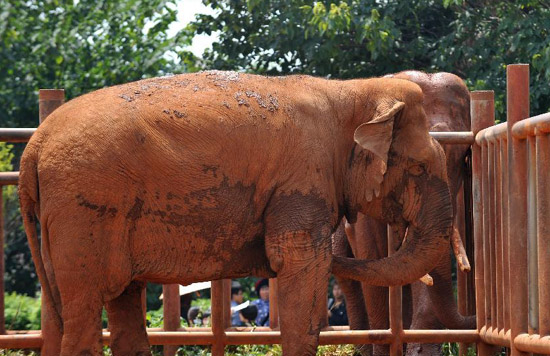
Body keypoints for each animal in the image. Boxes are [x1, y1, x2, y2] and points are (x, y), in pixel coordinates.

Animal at [19, 70, 454, 356]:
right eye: (419, 168)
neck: (351, 90)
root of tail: (33, 146)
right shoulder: (301, 180)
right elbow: (297, 267)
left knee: (116, 304)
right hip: (85, 207)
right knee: (85, 312)